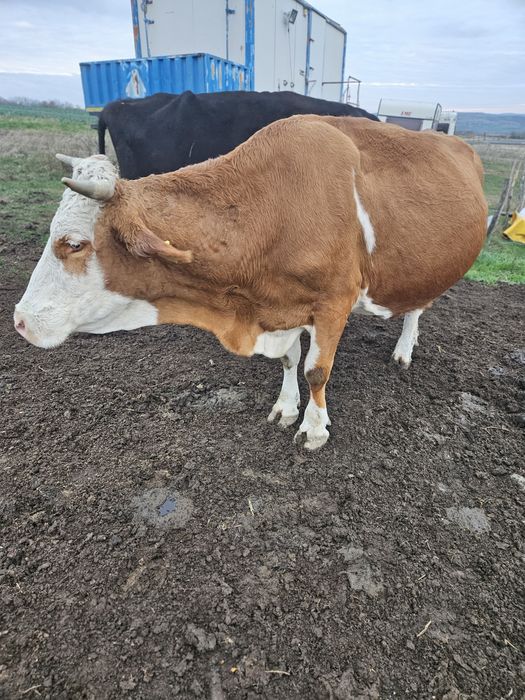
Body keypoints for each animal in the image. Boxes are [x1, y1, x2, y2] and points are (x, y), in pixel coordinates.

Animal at [14, 116, 487, 449]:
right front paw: (285, 407)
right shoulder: (281, 305)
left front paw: (314, 429)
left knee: (418, 307)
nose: (19, 319)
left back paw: (404, 349)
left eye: (74, 244)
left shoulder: (334, 300)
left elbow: (317, 370)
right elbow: (290, 360)